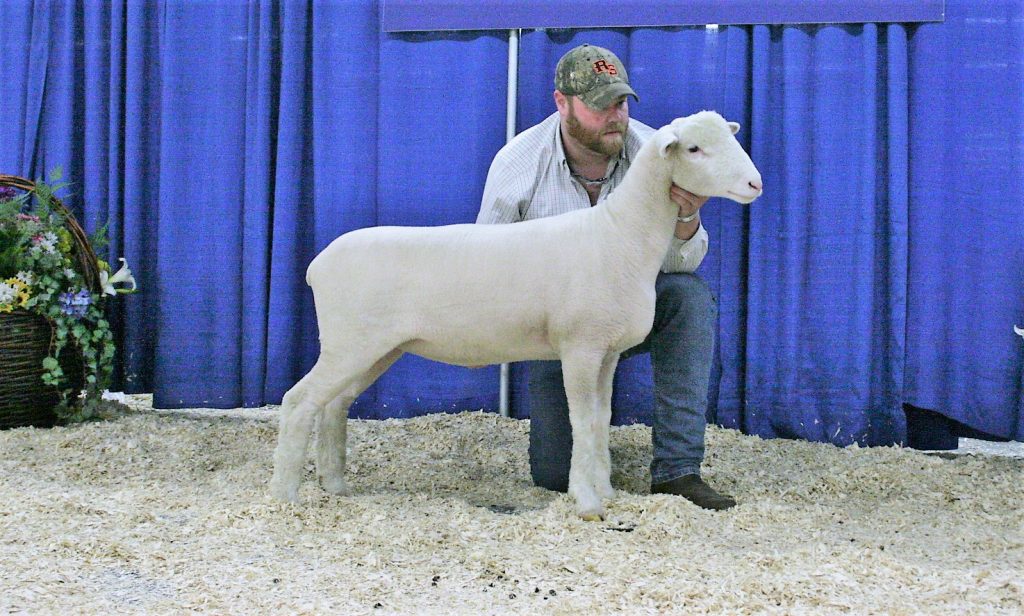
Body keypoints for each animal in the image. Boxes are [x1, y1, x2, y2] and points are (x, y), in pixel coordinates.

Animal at [270, 110, 761, 517]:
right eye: (694, 148)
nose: (755, 184)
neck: (619, 235)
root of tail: (317, 265)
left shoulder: (607, 353)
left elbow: (600, 421)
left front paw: (604, 491)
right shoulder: (580, 347)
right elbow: (581, 422)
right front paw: (587, 502)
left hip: (375, 348)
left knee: (334, 404)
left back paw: (335, 486)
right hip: (349, 343)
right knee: (299, 401)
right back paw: (285, 496)